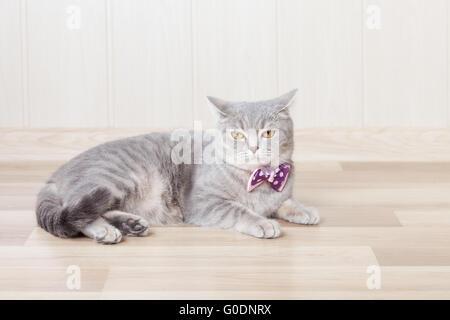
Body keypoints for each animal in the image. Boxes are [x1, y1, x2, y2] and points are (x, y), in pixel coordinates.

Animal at [36, 90, 320, 245]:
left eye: (269, 133)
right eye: (237, 135)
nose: (253, 147)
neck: (259, 179)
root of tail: (56, 174)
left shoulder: (281, 191)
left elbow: (285, 201)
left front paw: (303, 210)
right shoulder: (205, 203)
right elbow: (239, 211)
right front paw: (262, 222)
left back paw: (130, 224)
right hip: (114, 180)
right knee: (77, 213)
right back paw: (105, 230)